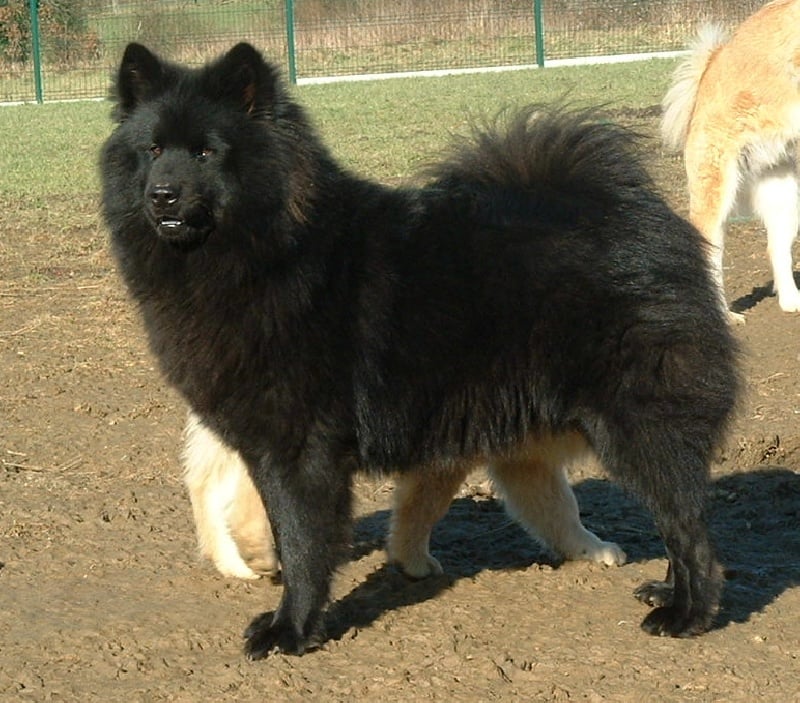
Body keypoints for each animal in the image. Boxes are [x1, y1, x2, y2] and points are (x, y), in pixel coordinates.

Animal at [100, 42, 739, 657]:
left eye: (206, 153)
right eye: (152, 149)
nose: (161, 195)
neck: (275, 251)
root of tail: (642, 218)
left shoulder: (302, 452)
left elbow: (304, 545)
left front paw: (291, 631)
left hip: (638, 426)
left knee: (689, 530)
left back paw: (685, 615)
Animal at [662, 0, 800, 322]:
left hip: (784, 196)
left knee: (777, 249)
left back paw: (792, 301)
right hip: (715, 191)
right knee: (710, 256)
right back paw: (723, 316)